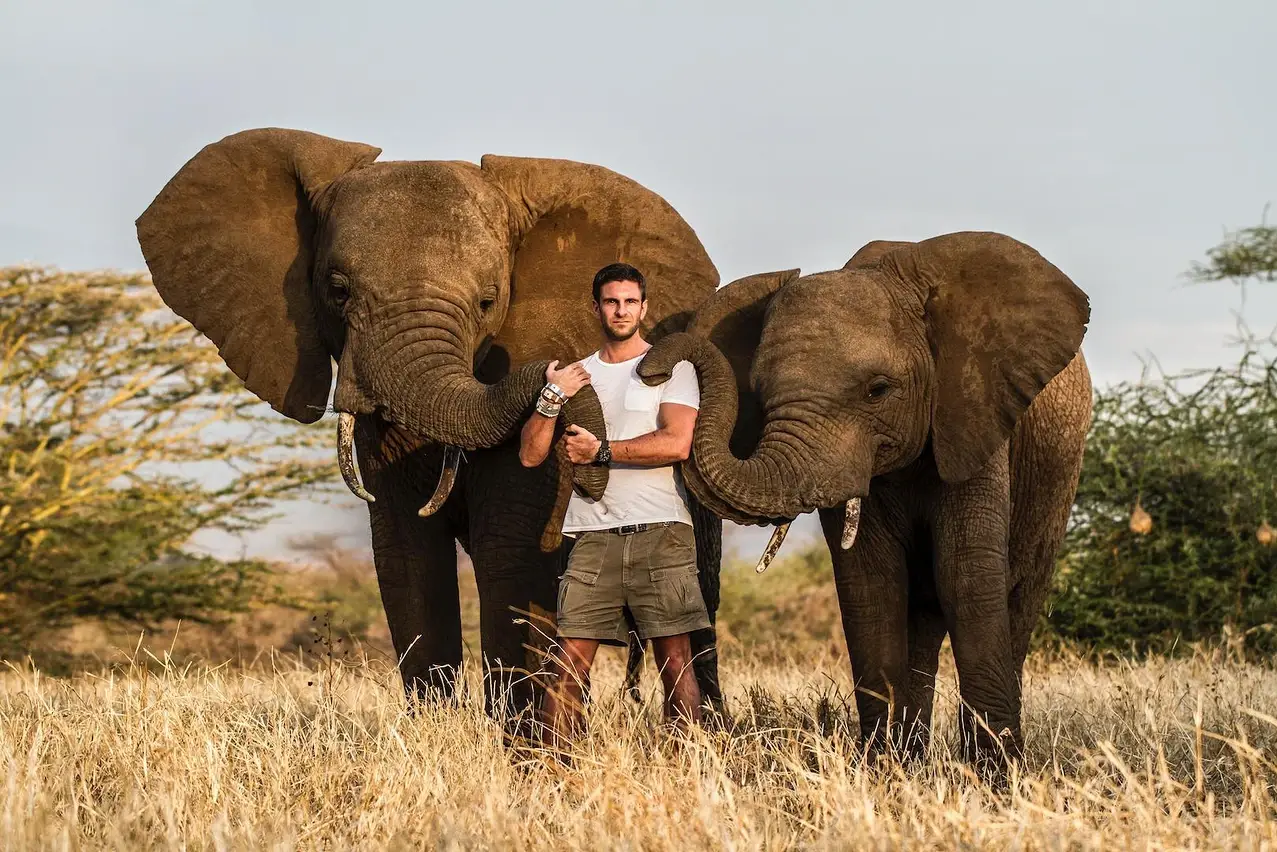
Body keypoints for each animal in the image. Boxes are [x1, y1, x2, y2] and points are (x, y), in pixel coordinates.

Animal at [133, 126, 727, 725]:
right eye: (338, 289)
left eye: (488, 301)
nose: (565, 382)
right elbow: (405, 552)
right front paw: (433, 728)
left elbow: (509, 549)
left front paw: (516, 738)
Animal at [637, 232, 1092, 767]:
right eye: (759, 394)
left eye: (878, 390)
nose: (650, 370)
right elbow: (871, 583)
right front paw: (882, 770)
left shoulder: (972, 414)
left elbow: (966, 575)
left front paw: (996, 778)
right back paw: (913, 756)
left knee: (1017, 595)